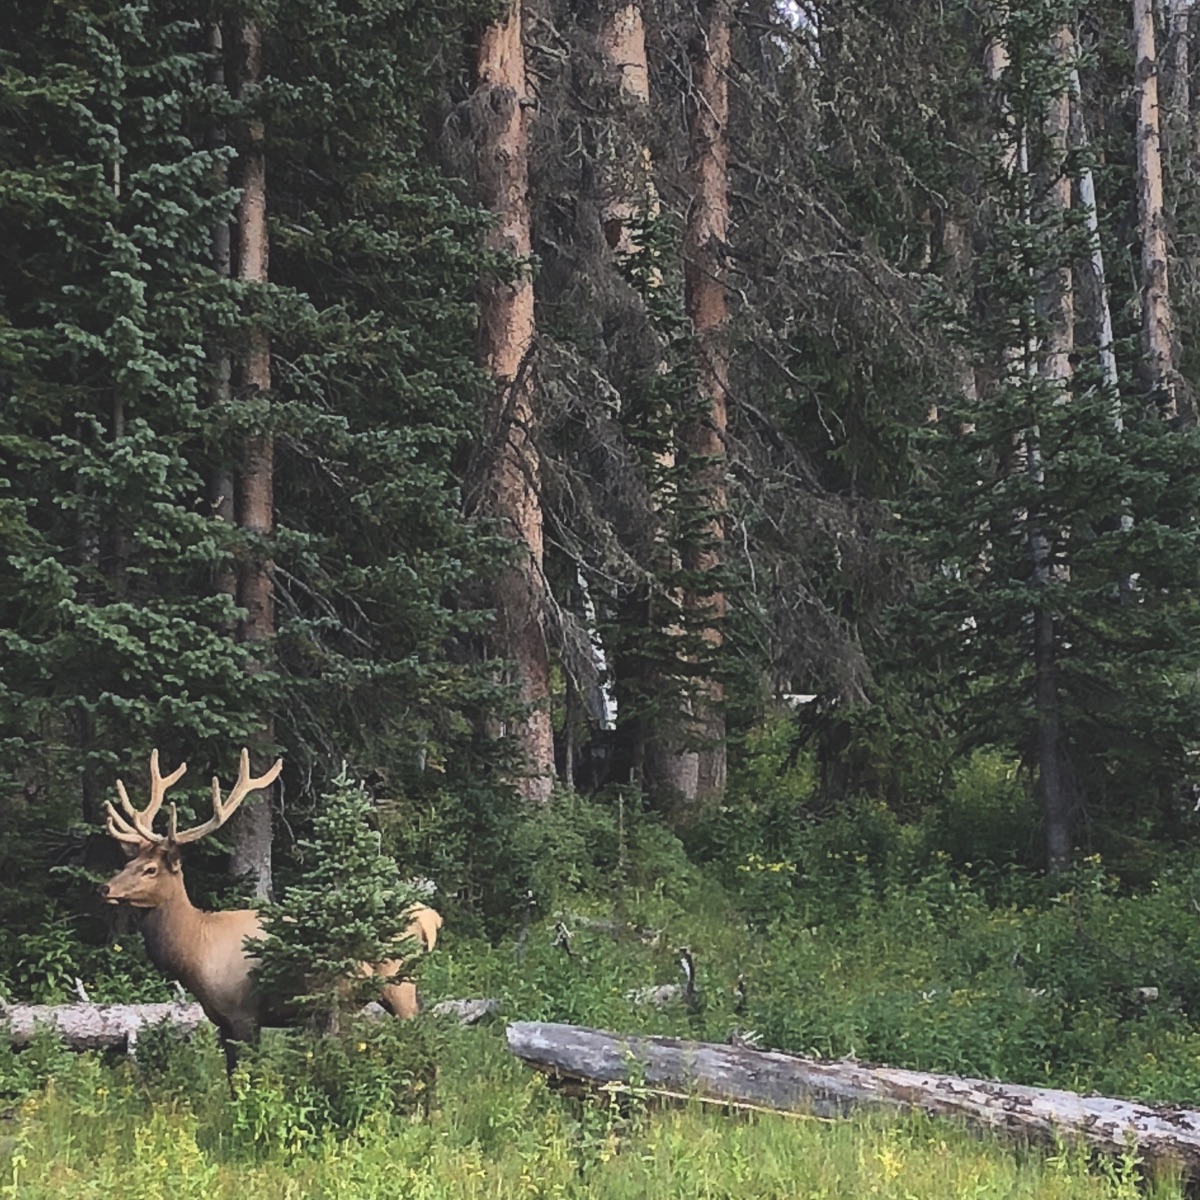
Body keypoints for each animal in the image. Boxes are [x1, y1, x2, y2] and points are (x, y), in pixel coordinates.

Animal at [100, 749, 442, 1070]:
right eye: (128, 863)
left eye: (150, 869)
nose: (105, 888)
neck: (196, 951)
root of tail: (430, 919)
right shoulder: (221, 1020)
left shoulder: (244, 1013)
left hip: (399, 982)